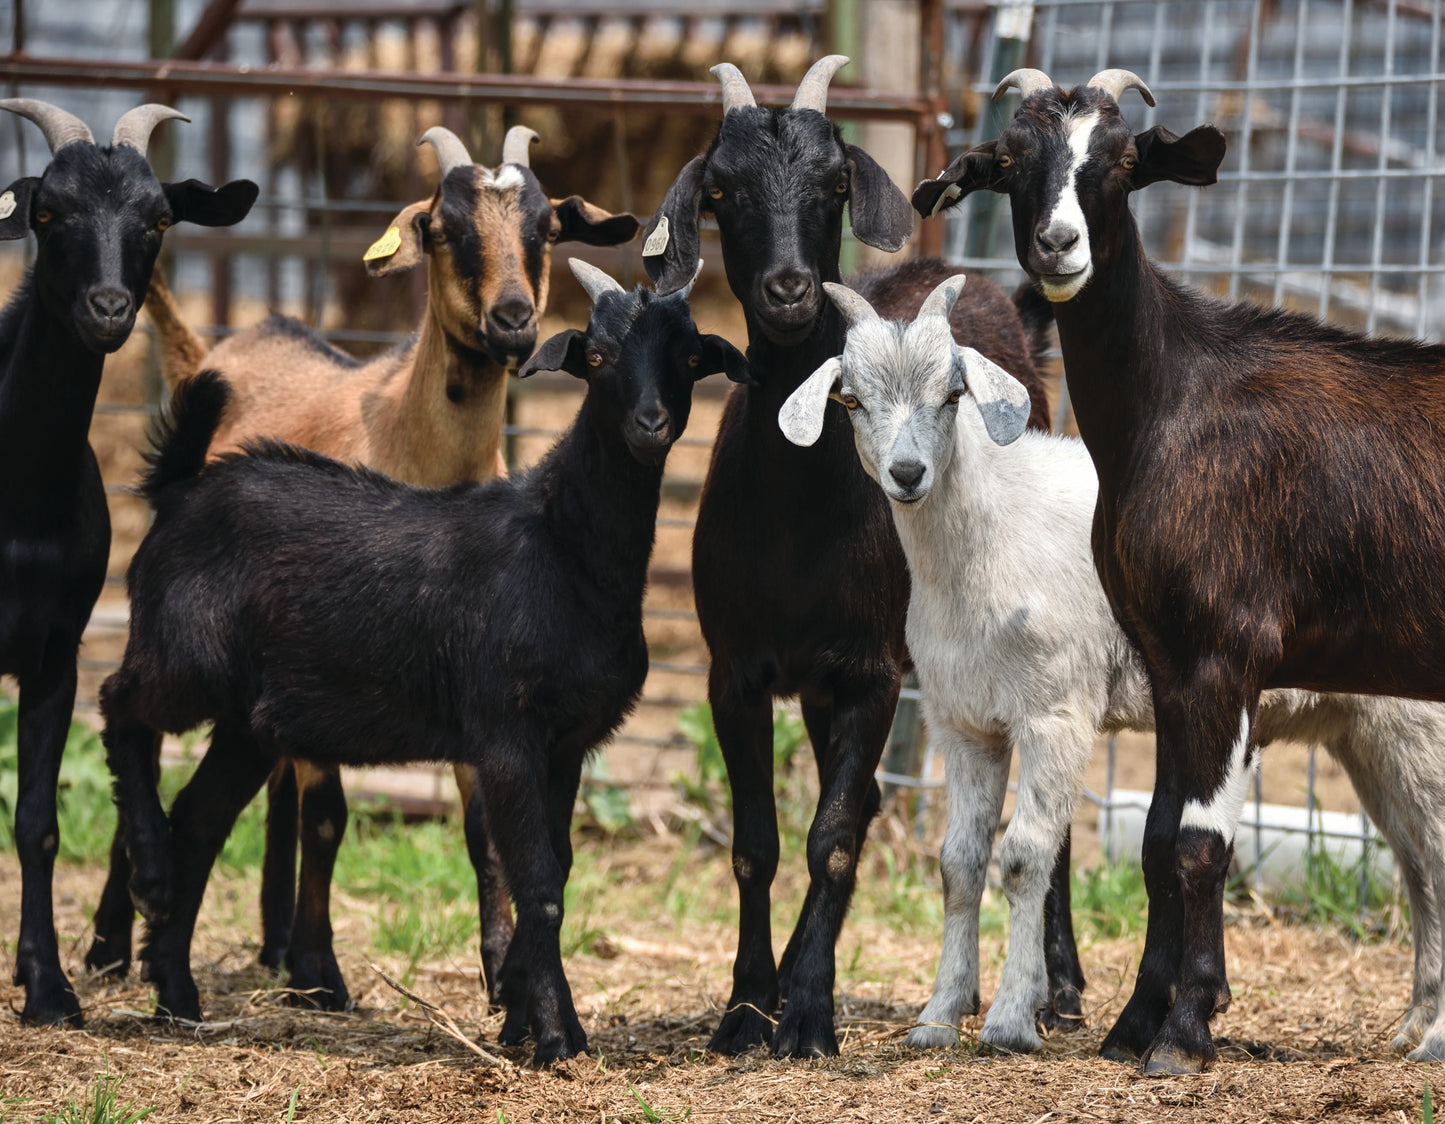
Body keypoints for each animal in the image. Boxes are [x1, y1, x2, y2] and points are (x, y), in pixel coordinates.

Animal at [0, 98, 257, 1022]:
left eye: (156, 220)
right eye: (47, 213)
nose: (109, 308)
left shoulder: (55, 651)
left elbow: (36, 822)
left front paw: (46, 985)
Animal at [84, 122, 638, 1005]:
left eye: (547, 228)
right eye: (441, 229)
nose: (513, 320)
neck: (407, 444)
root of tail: (210, 350)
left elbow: (480, 828)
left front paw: (498, 971)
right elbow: (329, 817)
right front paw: (322, 974)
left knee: (257, 784)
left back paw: (267, 940)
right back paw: (119, 937)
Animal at [98, 258, 745, 1063]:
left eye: (688, 357)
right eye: (595, 357)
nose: (649, 425)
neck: (561, 547)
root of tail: (178, 490)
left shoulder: (567, 743)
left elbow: (554, 869)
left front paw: (522, 1019)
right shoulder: (505, 734)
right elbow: (537, 883)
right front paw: (556, 1037)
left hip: (250, 719)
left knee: (199, 819)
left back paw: (178, 996)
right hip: (184, 656)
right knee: (120, 705)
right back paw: (151, 879)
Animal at [786, 273, 1445, 1057]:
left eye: (951, 393)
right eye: (851, 399)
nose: (907, 473)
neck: (990, 535)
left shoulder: (1056, 711)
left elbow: (1024, 856)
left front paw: (1011, 1020)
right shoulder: (962, 720)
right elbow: (959, 862)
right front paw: (938, 1018)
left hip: (1415, 725)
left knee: (1435, 853)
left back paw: (1432, 1036)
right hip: (1364, 733)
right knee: (1417, 863)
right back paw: (1413, 1024)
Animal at [919, 67, 1445, 1069]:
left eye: (1123, 163)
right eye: (1009, 161)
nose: (1057, 244)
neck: (1172, 401)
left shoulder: (1222, 653)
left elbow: (1200, 842)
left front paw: (1186, 1028)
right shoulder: (1165, 658)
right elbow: (1158, 840)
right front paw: (1134, 1024)